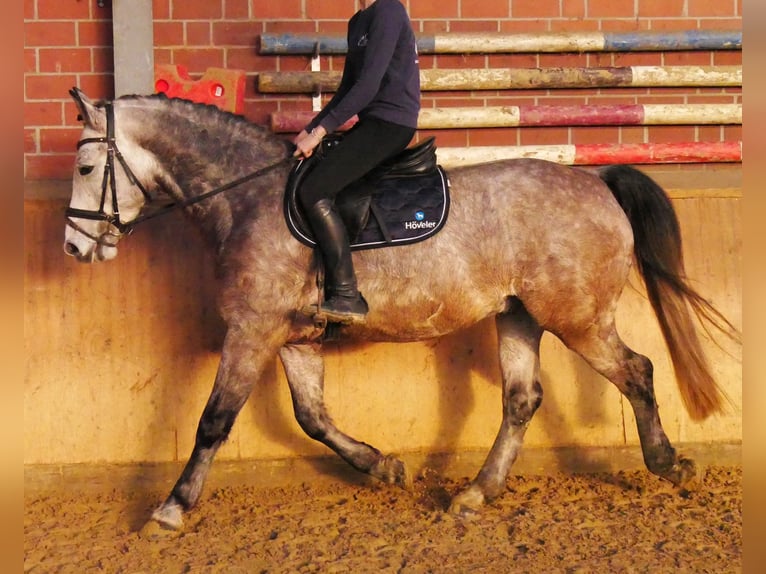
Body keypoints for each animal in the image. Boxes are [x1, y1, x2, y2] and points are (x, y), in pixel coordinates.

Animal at [63, 88, 736, 533]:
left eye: (87, 166)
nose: (73, 247)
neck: (247, 196)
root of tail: (597, 182)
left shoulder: (252, 330)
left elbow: (214, 420)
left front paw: (170, 508)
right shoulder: (291, 337)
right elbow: (312, 417)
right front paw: (383, 467)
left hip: (577, 319)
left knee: (637, 371)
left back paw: (668, 464)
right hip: (519, 314)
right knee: (522, 399)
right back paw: (475, 494)